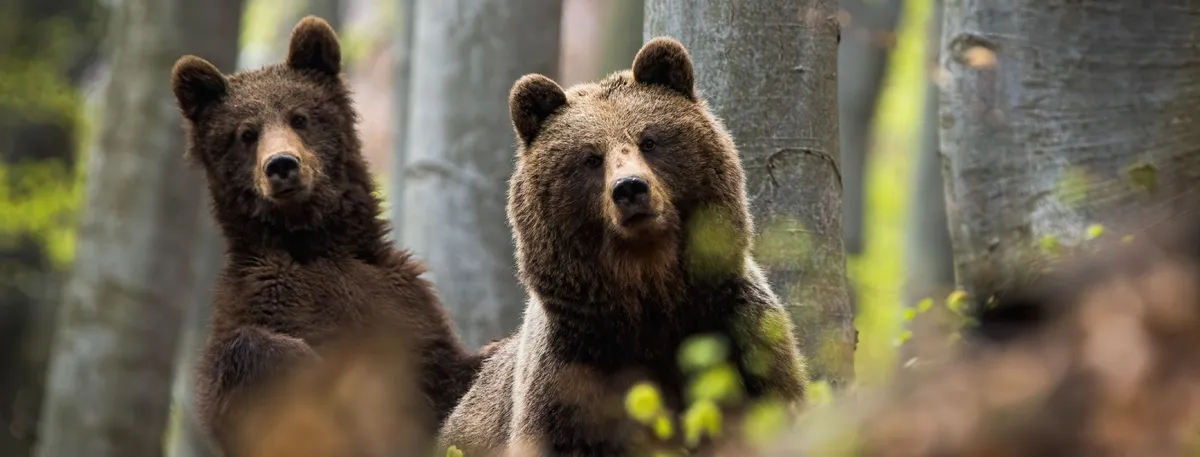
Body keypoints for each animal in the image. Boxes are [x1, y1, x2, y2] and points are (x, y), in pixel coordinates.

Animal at [170, 16, 483, 455]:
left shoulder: (404, 306)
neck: (312, 239)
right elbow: (248, 361)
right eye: (246, 133)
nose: (282, 165)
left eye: (299, 117)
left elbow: (453, 372)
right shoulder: (258, 301)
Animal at [437, 37, 808, 456]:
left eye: (649, 140)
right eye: (590, 157)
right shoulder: (569, 379)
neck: (650, 294)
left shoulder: (742, 339)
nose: (630, 188)